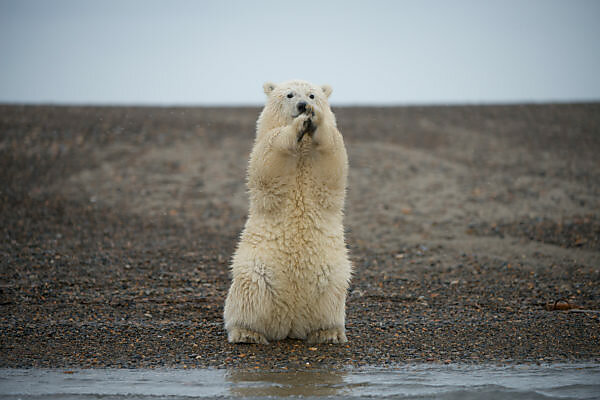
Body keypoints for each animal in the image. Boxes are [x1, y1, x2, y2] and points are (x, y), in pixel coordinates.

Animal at [224, 80, 352, 344]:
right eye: (289, 95)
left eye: (312, 95)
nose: (303, 106)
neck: (302, 150)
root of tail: (290, 323)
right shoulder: (263, 145)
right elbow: (268, 160)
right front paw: (297, 127)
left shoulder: (322, 166)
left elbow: (333, 157)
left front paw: (315, 119)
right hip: (255, 270)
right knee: (248, 297)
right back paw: (247, 332)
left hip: (332, 276)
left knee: (330, 299)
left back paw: (328, 333)